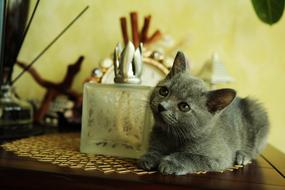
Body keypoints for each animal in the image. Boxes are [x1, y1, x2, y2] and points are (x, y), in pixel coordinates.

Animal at [138, 51, 268, 174]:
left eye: (184, 106)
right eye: (164, 91)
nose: (162, 106)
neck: (173, 136)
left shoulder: (220, 157)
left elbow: (191, 156)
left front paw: (171, 163)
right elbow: (155, 149)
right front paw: (149, 157)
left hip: (257, 113)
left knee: (255, 149)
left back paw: (243, 155)